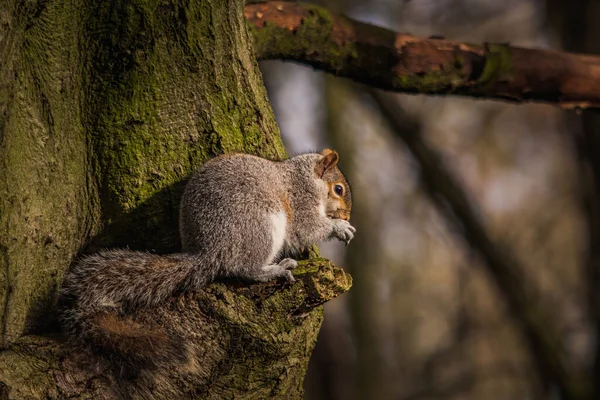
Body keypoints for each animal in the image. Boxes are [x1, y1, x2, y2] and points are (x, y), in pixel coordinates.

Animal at [58, 149, 354, 368]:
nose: (347, 215)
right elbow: (307, 228)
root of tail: (209, 251)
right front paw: (338, 228)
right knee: (244, 268)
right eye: (338, 189)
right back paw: (274, 269)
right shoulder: (300, 201)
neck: (304, 177)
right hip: (260, 223)